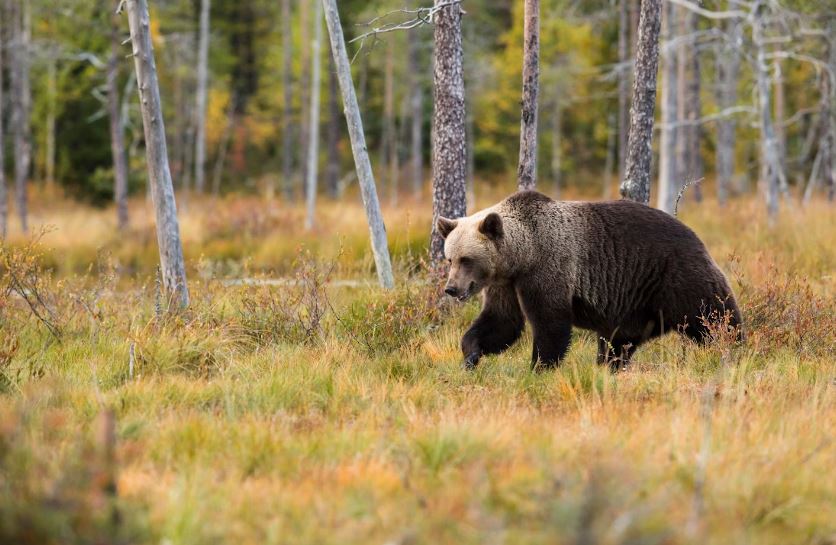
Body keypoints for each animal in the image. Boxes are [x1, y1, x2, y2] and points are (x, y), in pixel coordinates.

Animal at [440, 190, 740, 370]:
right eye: (449, 258)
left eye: (466, 259)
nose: (451, 288)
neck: (522, 255)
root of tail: (695, 235)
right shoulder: (506, 284)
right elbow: (502, 322)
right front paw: (471, 355)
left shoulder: (548, 268)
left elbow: (550, 324)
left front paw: (539, 367)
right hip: (634, 305)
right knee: (618, 342)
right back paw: (610, 367)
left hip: (675, 276)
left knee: (712, 315)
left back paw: (733, 348)